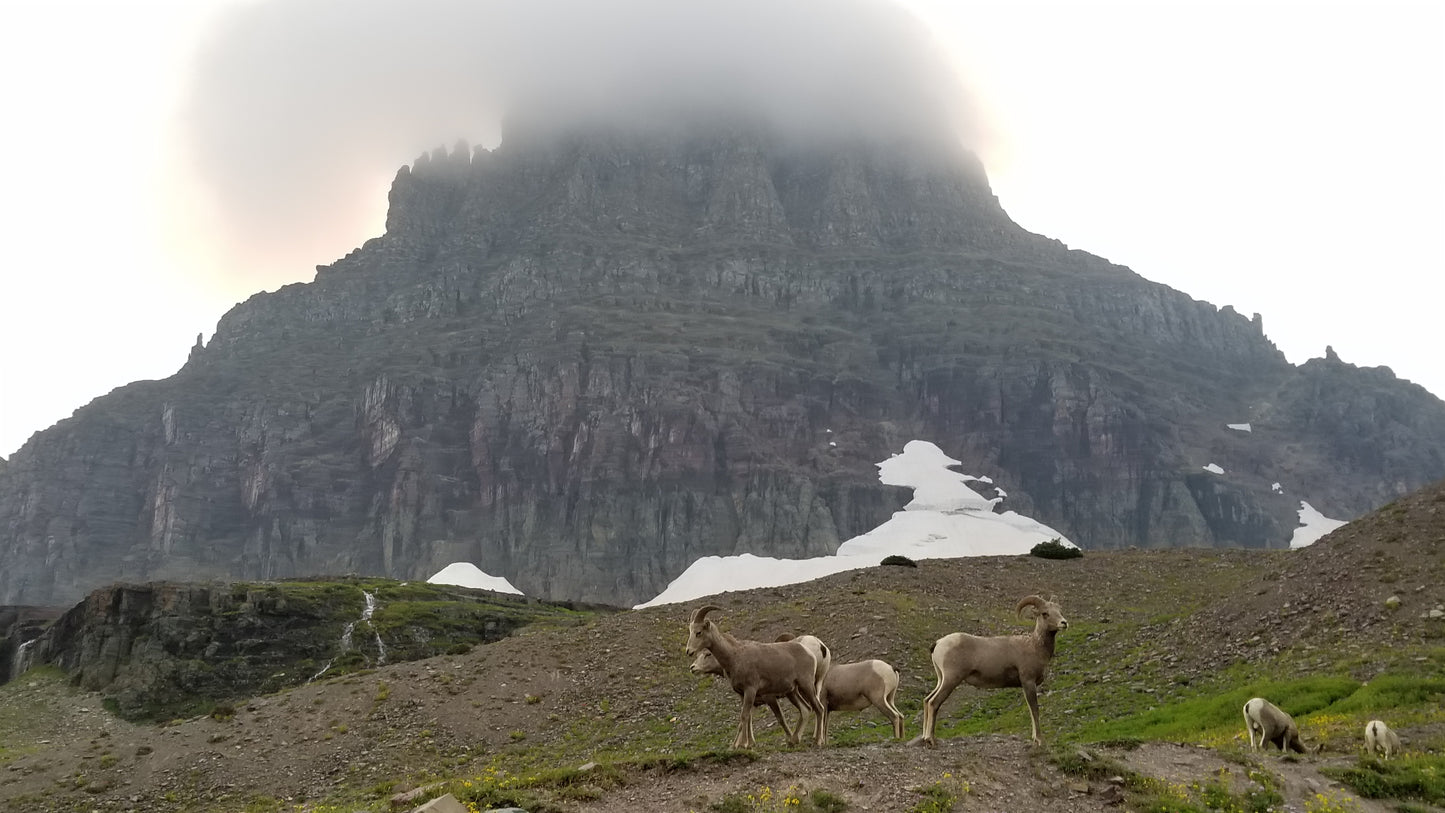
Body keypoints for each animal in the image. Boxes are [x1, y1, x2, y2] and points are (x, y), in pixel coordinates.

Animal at [684, 603, 826, 750]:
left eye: (698, 632)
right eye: (690, 631)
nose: (689, 651)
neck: (734, 657)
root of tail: (810, 652)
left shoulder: (751, 690)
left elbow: (745, 717)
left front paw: (740, 745)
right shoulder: (742, 694)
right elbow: (746, 719)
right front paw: (742, 745)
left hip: (806, 685)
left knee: (819, 708)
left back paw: (818, 741)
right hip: (792, 691)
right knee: (806, 709)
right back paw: (793, 741)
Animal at [919, 594, 1069, 745]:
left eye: (1059, 611)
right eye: (1045, 613)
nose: (1064, 623)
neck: (1035, 647)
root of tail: (938, 643)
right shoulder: (1028, 682)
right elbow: (1034, 710)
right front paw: (1039, 739)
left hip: (941, 679)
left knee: (927, 700)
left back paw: (925, 737)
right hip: (951, 680)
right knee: (933, 703)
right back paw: (930, 739)